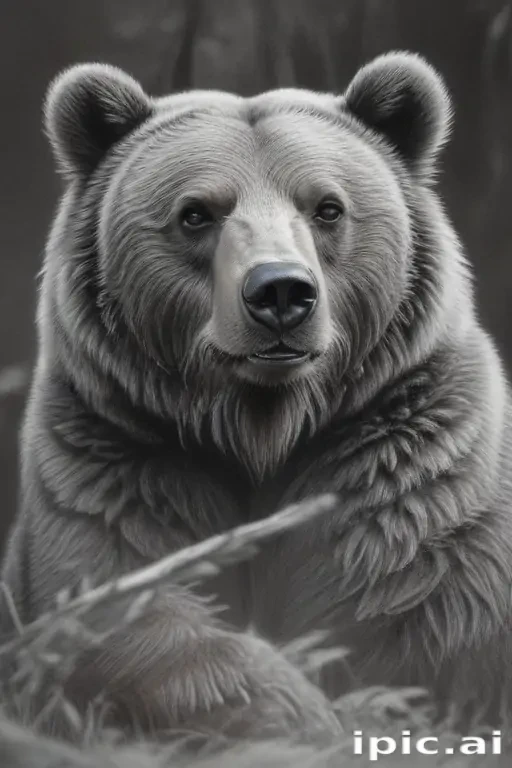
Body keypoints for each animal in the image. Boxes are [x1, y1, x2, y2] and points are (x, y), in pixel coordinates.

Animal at [2, 49, 512, 742]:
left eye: (327, 207)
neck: (261, 426)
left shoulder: (404, 461)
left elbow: (418, 602)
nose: (280, 291)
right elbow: (120, 603)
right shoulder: (115, 452)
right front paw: (299, 711)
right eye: (196, 212)